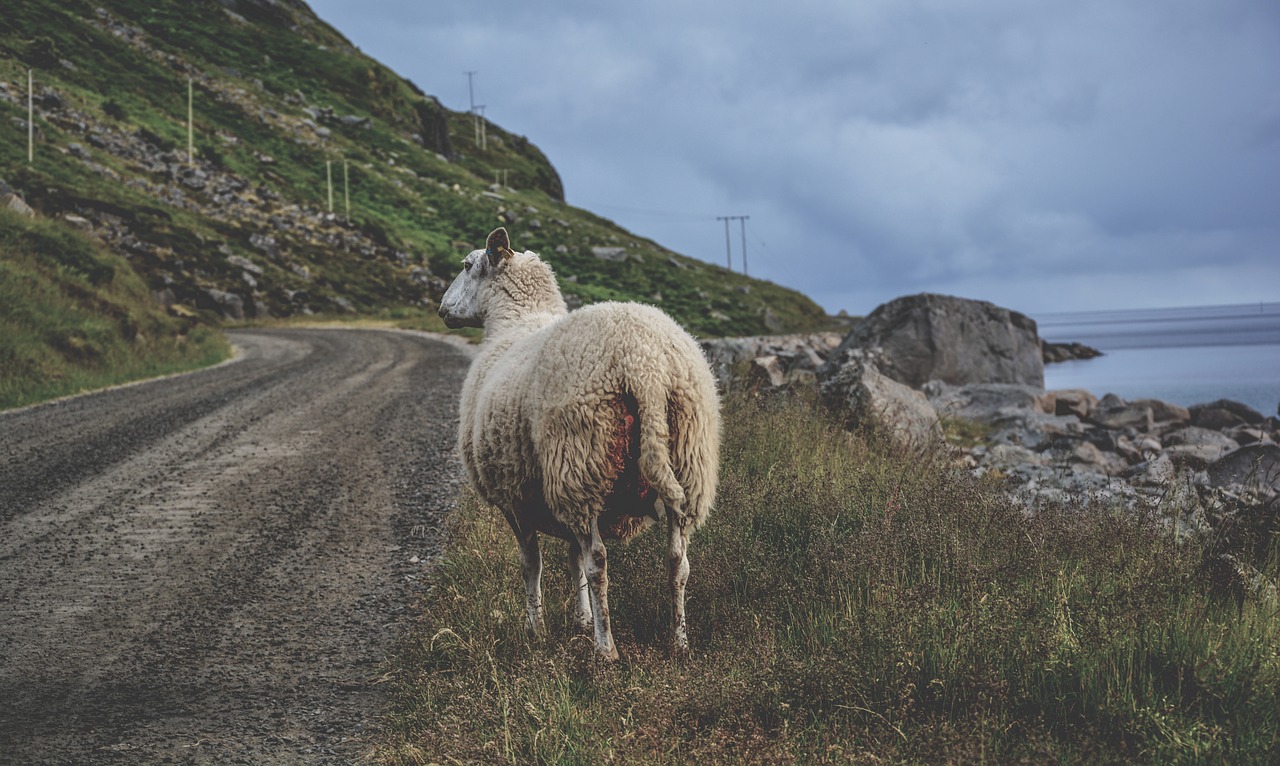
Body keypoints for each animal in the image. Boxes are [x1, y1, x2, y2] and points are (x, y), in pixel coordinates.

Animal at [440, 226, 721, 660]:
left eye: (468, 265)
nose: (442, 309)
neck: (516, 322)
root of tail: (645, 365)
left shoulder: (514, 498)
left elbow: (533, 563)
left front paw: (535, 629)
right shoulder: (557, 498)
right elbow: (572, 557)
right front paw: (580, 620)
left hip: (580, 459)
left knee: (599, 562)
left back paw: (606, 650)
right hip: (686, 461)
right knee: (678, 561)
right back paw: (679, 641)